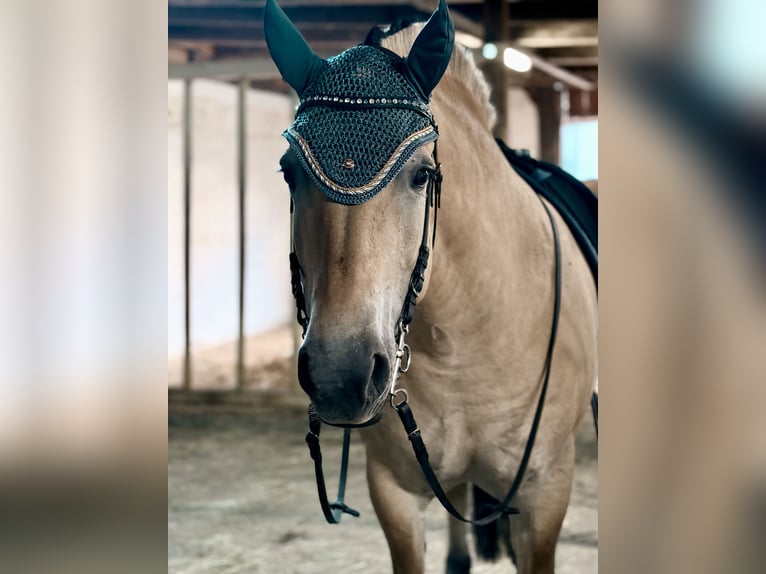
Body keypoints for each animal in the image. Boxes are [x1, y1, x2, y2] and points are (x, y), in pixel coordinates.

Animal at [264, 1, 597, 572]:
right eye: (289, 172)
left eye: (421, 175)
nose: (339, 375)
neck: (463, 339)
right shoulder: (393, 493)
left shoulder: (546, 495)